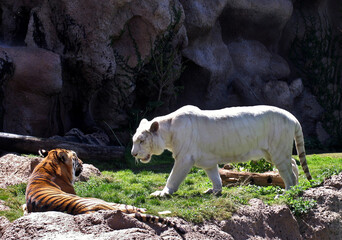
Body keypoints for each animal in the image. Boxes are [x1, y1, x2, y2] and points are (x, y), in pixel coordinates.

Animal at [131, 105, 312, 197]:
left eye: (141, 140)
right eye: (134, 140)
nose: (133, 154)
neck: (168, 132)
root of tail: (292, 117)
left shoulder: (184, 158)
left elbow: (173, 177)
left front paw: (162, 193)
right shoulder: (208, 161)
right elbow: (215, 177)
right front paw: (215, 191)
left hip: (277, 150)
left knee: (287, 172)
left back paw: (287, 192)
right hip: (272, 153)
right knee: (293, 162)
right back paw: (297, 188)